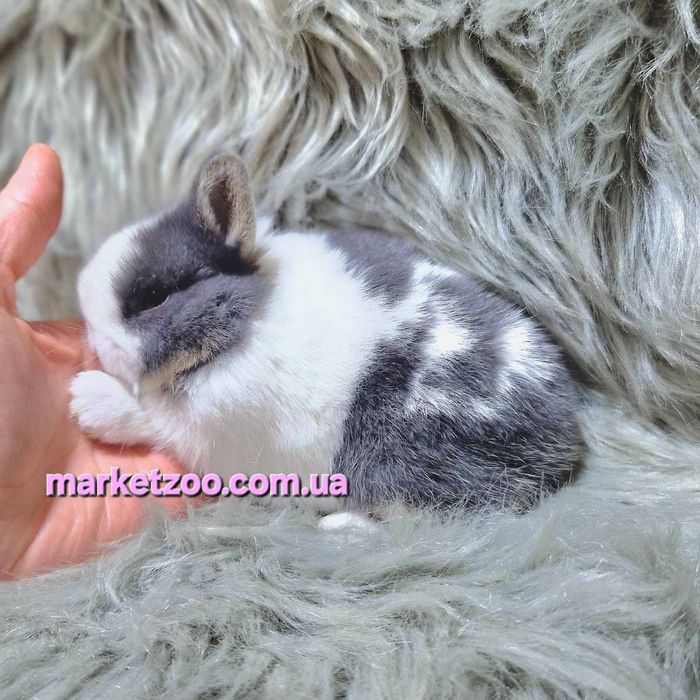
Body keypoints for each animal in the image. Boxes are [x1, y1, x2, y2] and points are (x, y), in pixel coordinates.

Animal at [70, 153, 583, 524]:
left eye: (154, 297)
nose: (91, 338)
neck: (246, 319)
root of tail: (563, 440)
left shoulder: (212, 429)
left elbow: (152, 417)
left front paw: (85, 400)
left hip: (400, 467)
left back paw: (342, 530)